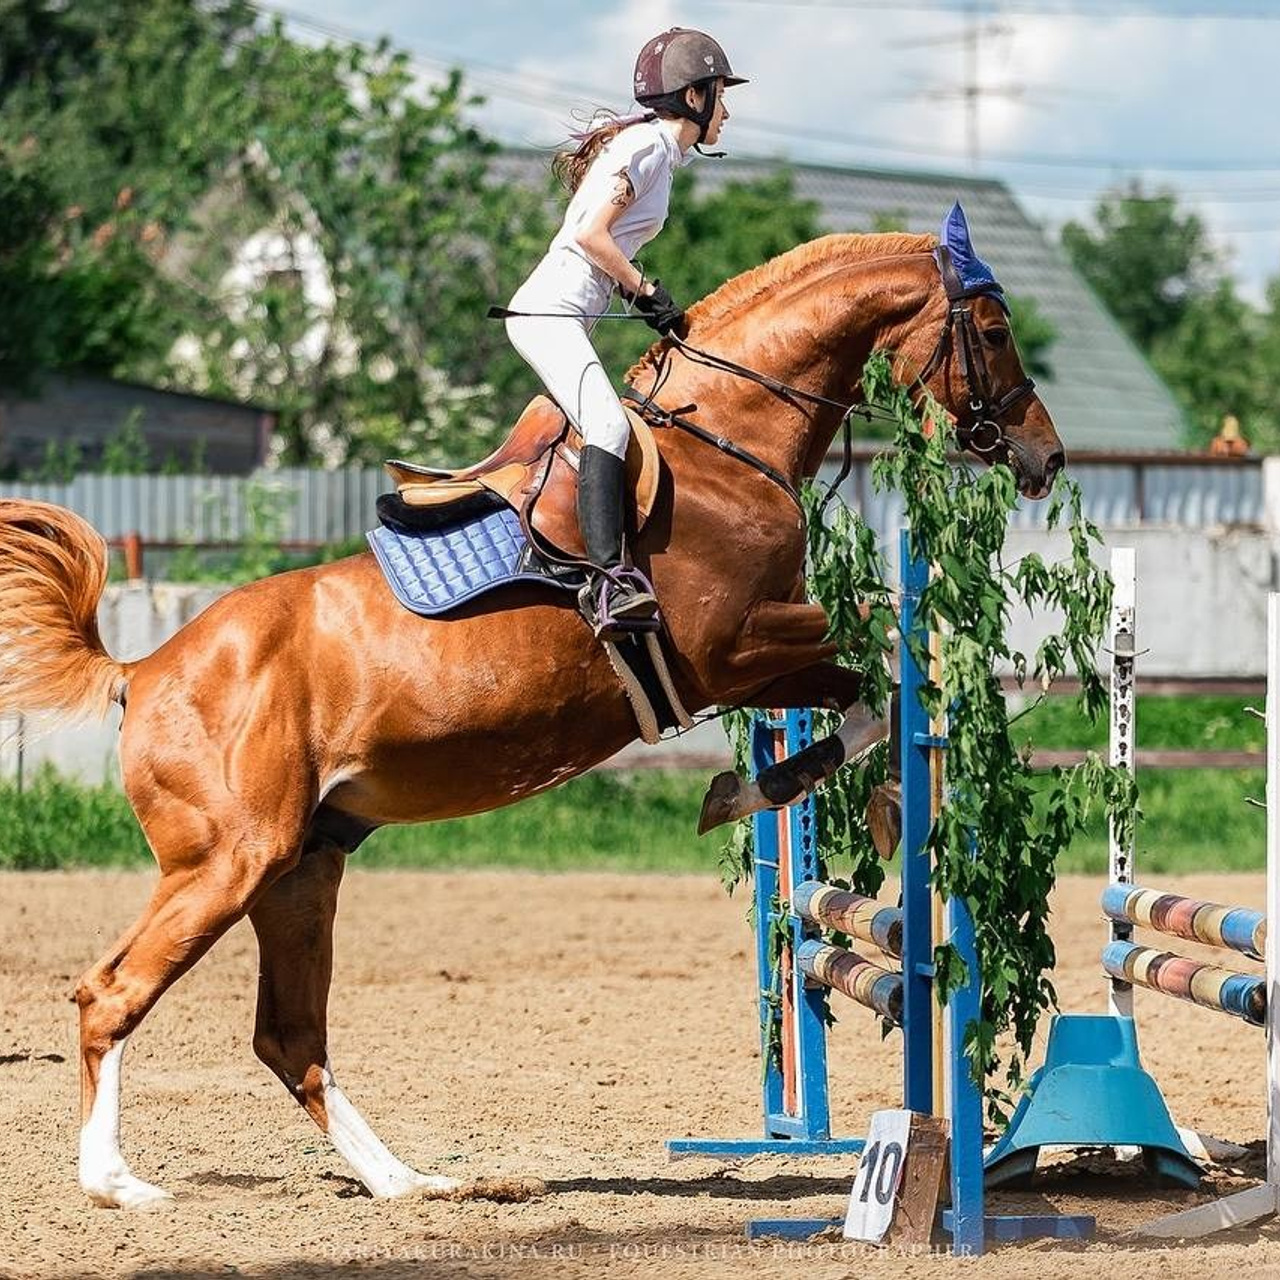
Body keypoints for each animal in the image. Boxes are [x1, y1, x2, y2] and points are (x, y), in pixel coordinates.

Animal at [0, 222, 1063, 1208]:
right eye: (995, 330)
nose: (1045, 457)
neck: (728, 441)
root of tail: (144, 669)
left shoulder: (755, 665)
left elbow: (867, 684)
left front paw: (784, 791)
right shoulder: (732, 650)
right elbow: (877, 654)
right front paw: (785, 790)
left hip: (302, 870)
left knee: (289, 1036)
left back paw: (406, 1181)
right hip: (232, 862)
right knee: (113, 994)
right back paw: (118, 1182)